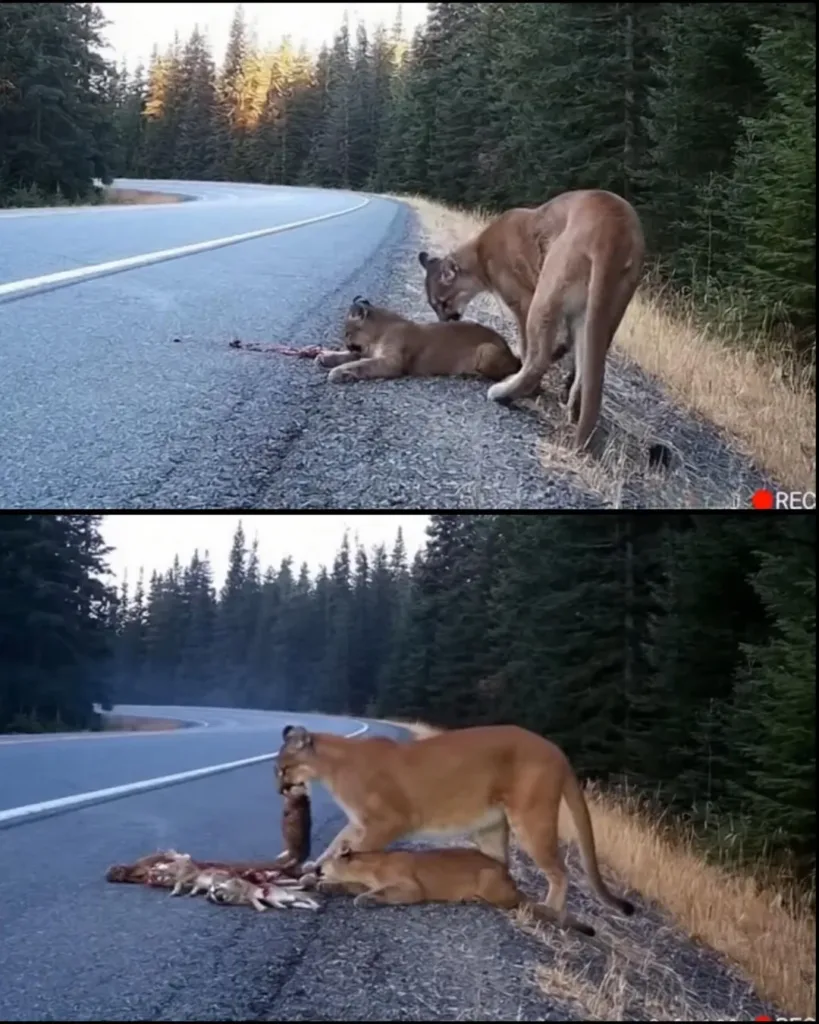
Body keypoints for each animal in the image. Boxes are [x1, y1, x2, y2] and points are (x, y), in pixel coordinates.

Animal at [315, 296, 521, 383]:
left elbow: (361, 364)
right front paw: (326, 357)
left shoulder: (390, 362)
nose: (346, 341)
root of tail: (513, 354)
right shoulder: (370, 352)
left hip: (486, 350)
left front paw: (338, 372)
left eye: (346, 333)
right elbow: (350, 357)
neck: (381, 331)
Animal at [317, 842, 595, 936]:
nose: (316, 867)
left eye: (326, 859)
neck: (370, 865)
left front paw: (364, 899)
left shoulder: (412, 888)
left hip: (489, 882)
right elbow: (348, 885)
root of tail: (508, 875)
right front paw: (326, 886)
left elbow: (379, 892)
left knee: (514, 902)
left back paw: (473, 898)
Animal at [418, 189, 645, 449]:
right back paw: (572, 411)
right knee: (588, 364)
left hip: (546, 294)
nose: (443, 320)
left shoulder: (522, 301)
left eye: (441, 303)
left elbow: (527, 345)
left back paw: (503, 393)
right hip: (601, 311)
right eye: (434, 305)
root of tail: (614, 229)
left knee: (539, 360)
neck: (480, 254)